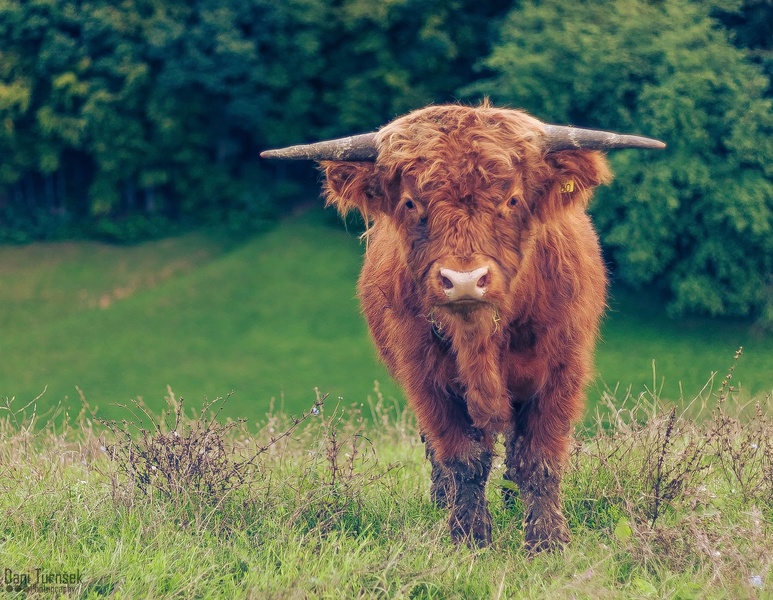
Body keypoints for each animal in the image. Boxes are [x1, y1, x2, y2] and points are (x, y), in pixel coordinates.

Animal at [261, 103, 664, 552]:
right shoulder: (427, 379)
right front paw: (469, 535)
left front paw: (547, 540)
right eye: (410, 202)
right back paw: (443, 499)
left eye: (511, 199)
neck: (481, 339)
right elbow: (463, 458)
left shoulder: (562, 371)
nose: (465, 279)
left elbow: (539, 457)